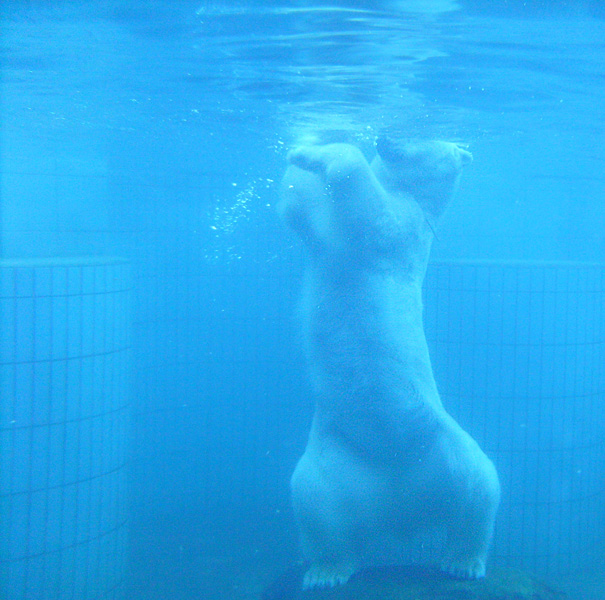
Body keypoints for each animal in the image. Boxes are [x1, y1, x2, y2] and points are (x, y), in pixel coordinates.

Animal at [278, 137, 500, 592]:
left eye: (422, 135)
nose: (386, 140)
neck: (414, 193)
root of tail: (401, 508)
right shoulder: (328, 236)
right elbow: (299, 212)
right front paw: (301, 151)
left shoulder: (405, 231)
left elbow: (372, 215)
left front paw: (323, 152)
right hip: (333, 458)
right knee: (315, 505)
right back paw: (327, 571)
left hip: (446, 443)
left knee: (480, 491)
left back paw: (463, 561)